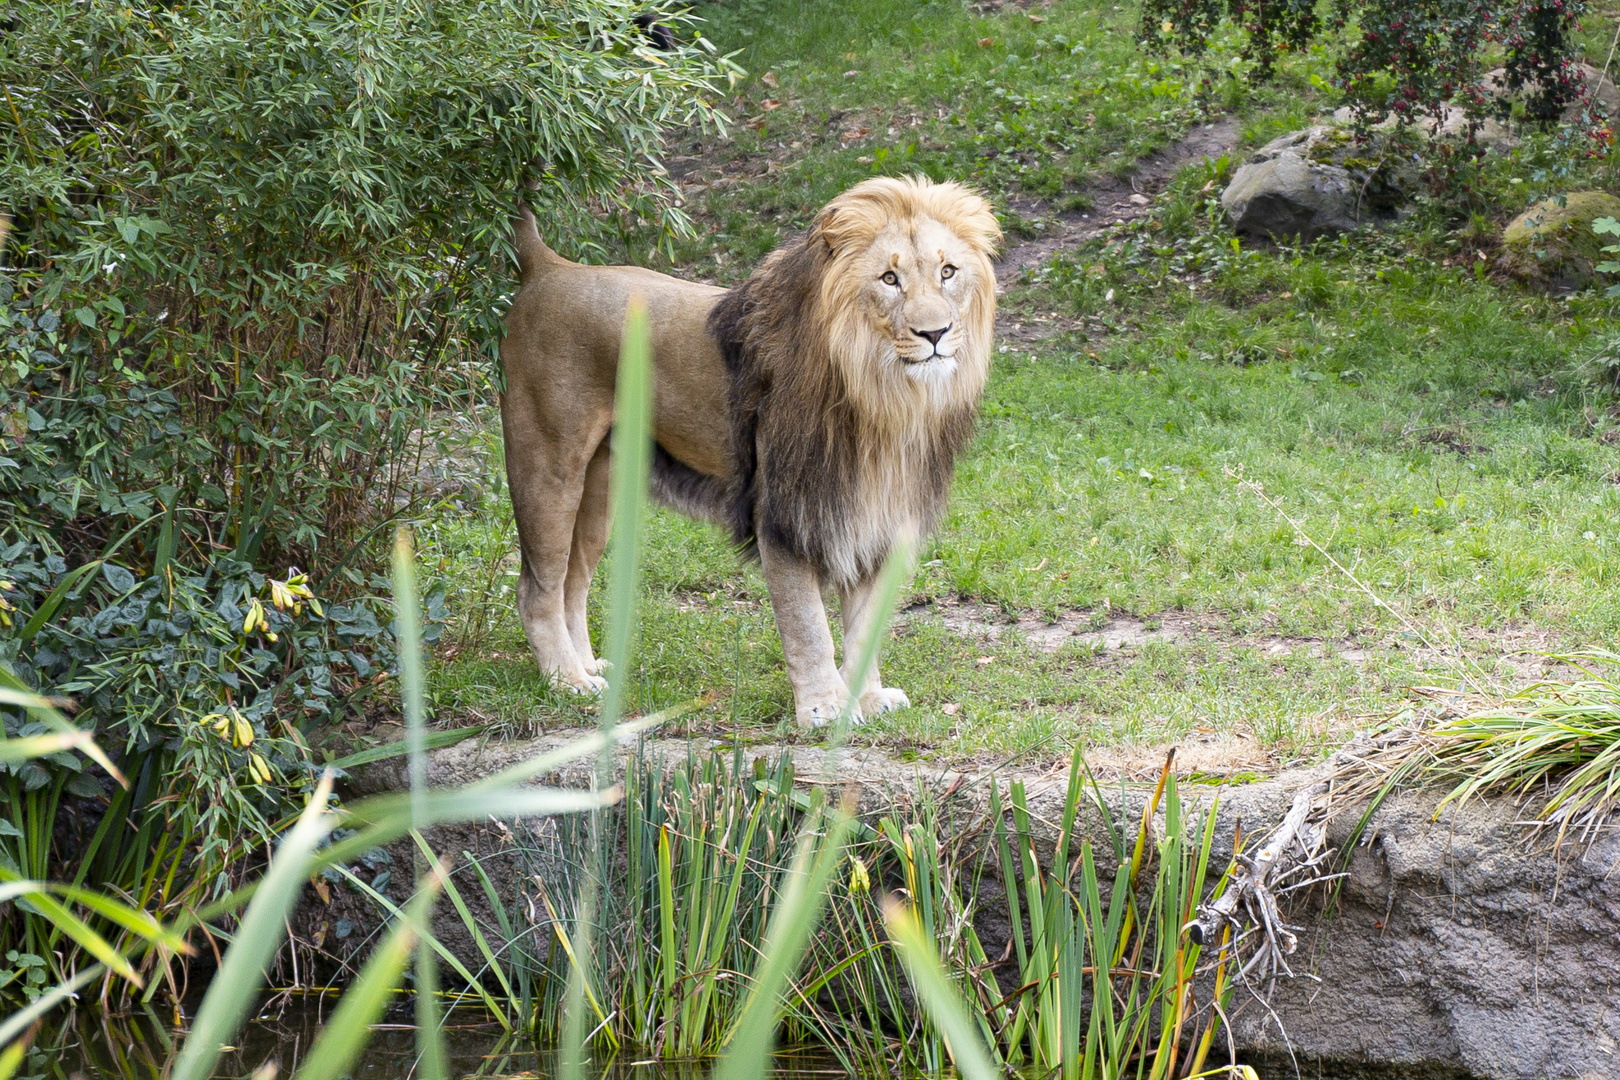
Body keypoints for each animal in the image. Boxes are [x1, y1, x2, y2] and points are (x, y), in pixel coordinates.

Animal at [498, 177, 997, 731]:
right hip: (547, 464)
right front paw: (824, 709)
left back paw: (587, 667)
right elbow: (808, 626)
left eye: (947, 272)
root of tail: (548, 265)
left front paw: (866, 700)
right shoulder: (784, 515)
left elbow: (866, 626)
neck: (885, 401)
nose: (935, 334)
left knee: (572, 581)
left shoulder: (875, 517)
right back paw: (567, 682)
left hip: (601, 487)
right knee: (537, 588)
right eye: (890, 279)